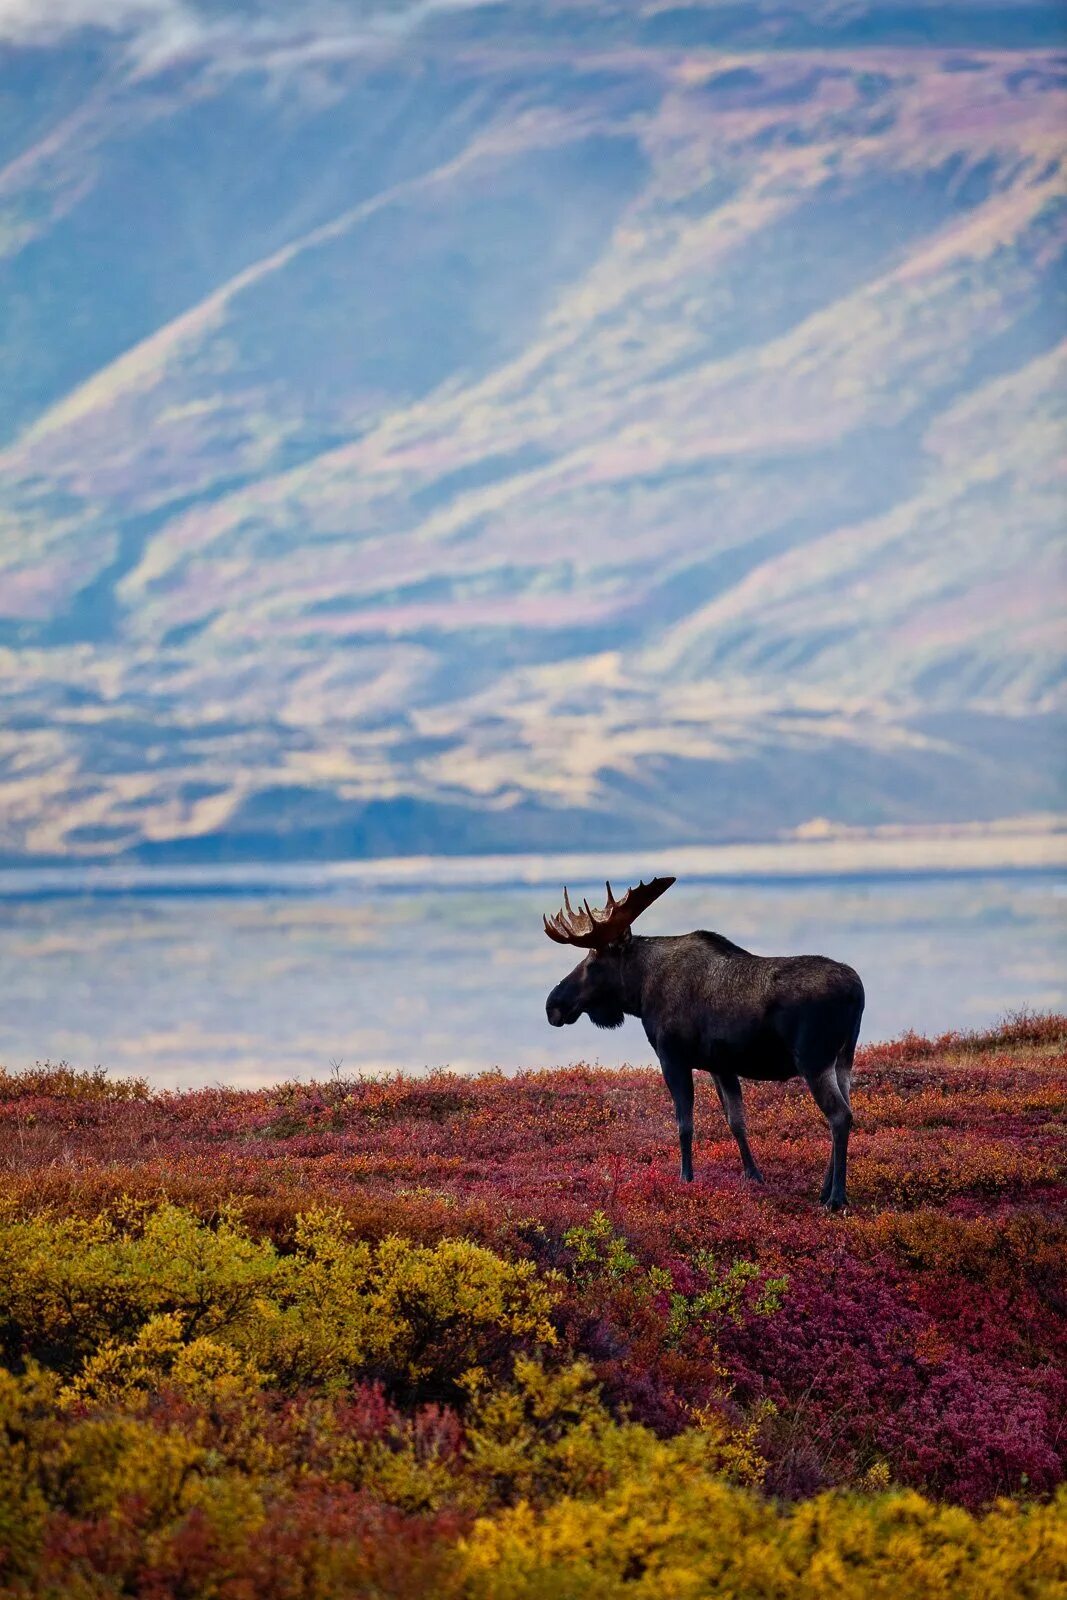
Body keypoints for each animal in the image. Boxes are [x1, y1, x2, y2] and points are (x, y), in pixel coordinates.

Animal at [547, 876, 863, 1209]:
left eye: (592, 963)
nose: (553, 1005)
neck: (641, 992)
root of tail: (858, 991)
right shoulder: (720, 1065)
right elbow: (736, 1121)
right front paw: (753, 1175)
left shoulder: (672, 1057)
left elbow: (684, 1124)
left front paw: (686, 1177)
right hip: (843, 1059)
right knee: (846, 1110)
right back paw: (824, 1189)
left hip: (814, 1060)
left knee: (839, 1115)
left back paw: (836, 1197)